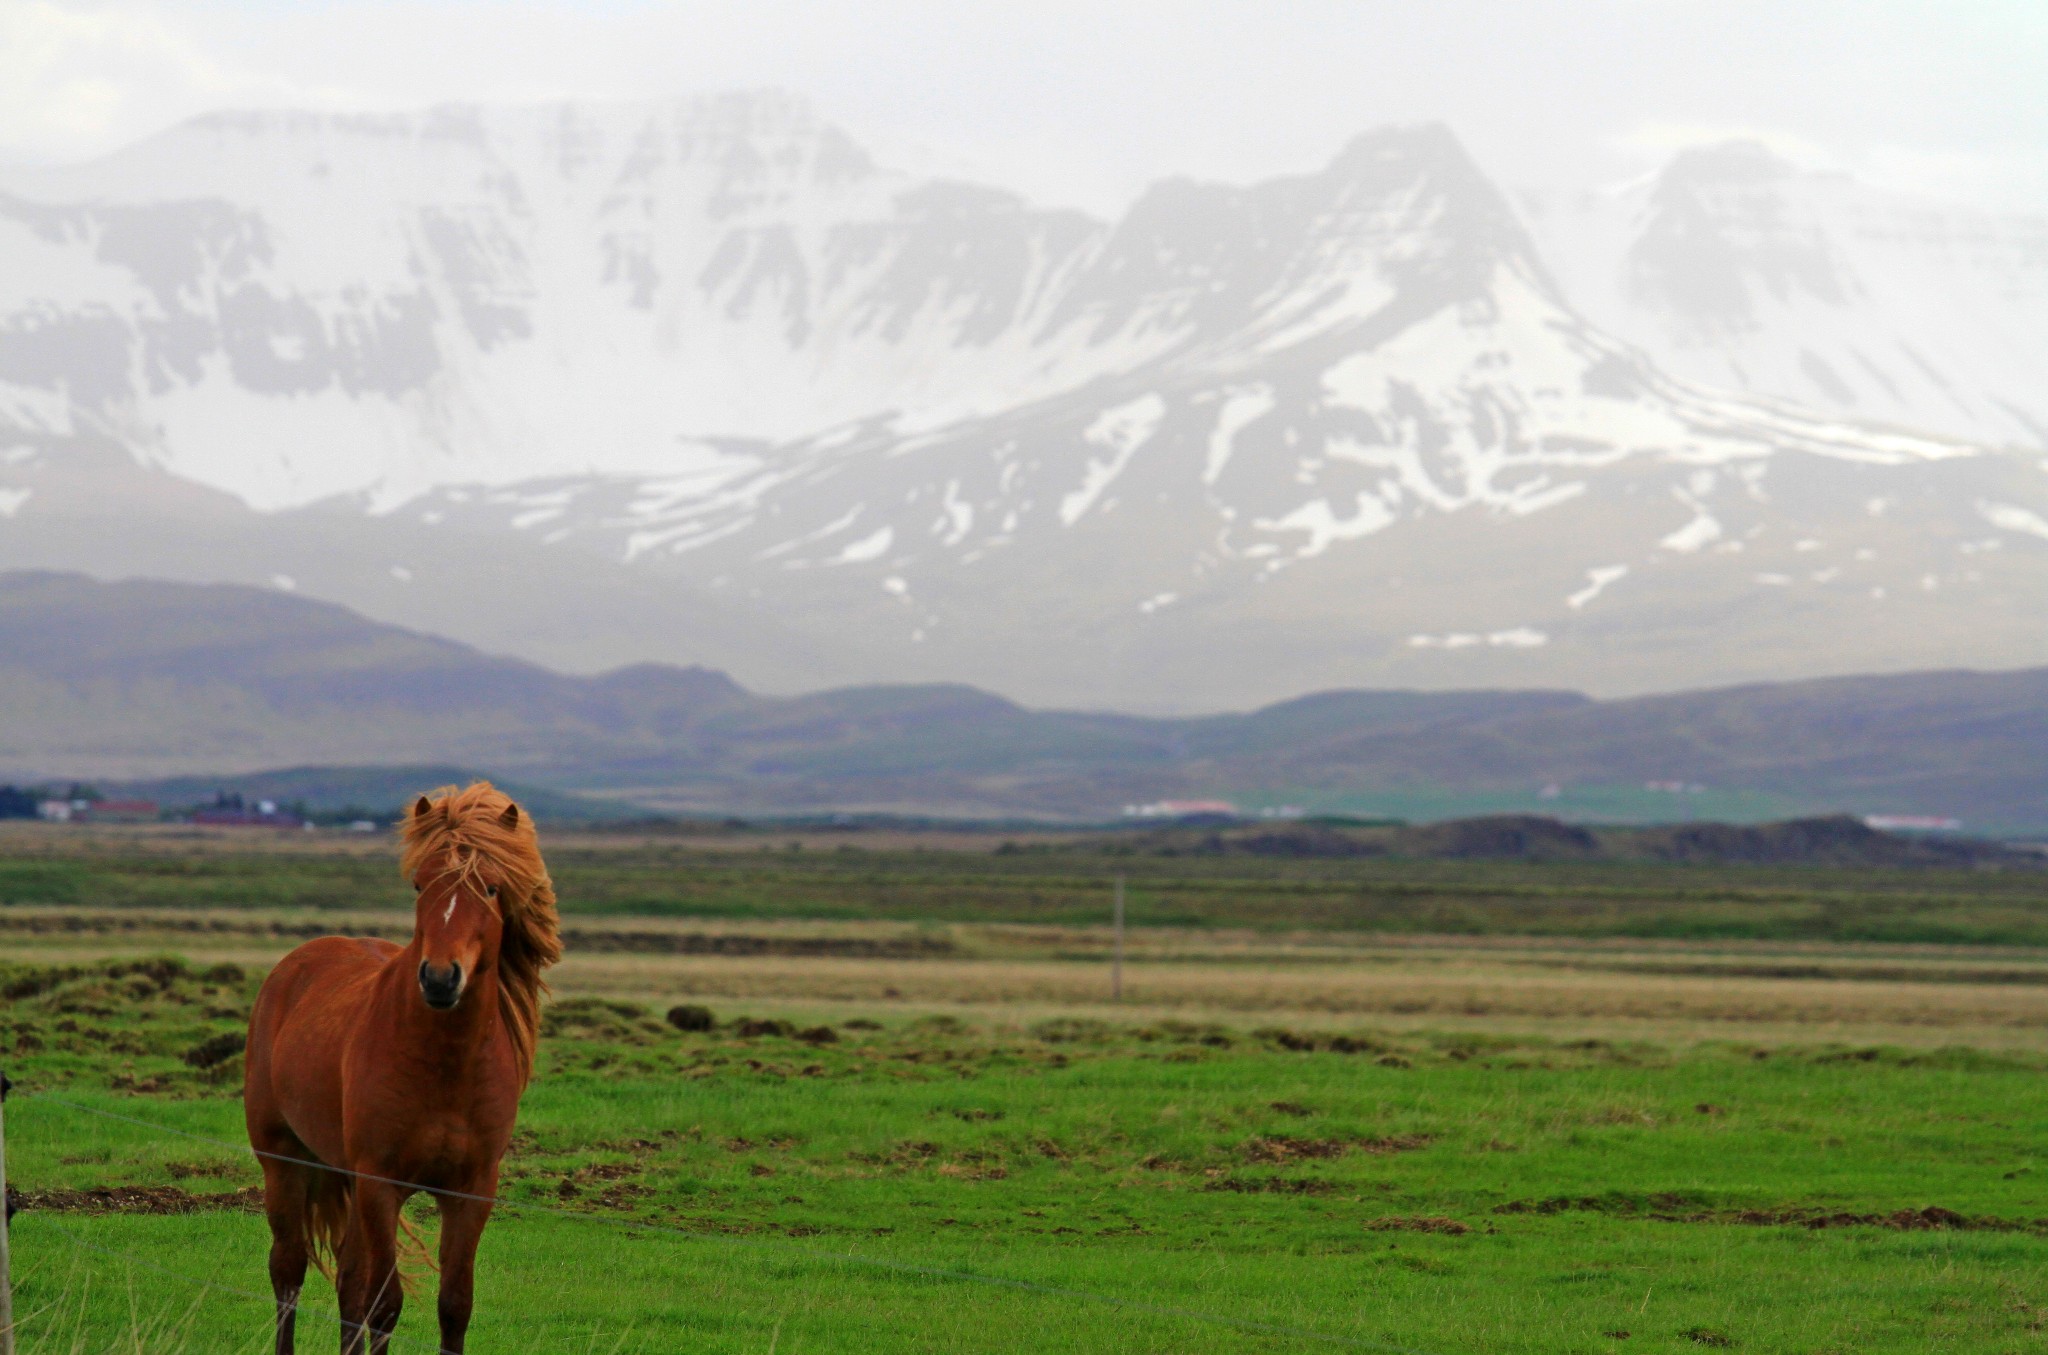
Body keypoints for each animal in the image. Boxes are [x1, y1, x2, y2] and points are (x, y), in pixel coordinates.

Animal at [245, 785, 561, 1355]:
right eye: (421, 883)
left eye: (492, 887)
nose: (439, 978)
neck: (447, 1065)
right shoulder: (380, 1183)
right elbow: (385, 1304)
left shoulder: (470, 1191)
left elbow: (453, 1306)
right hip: (284, 1163)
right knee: (289, 1273)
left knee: (348, 1283)